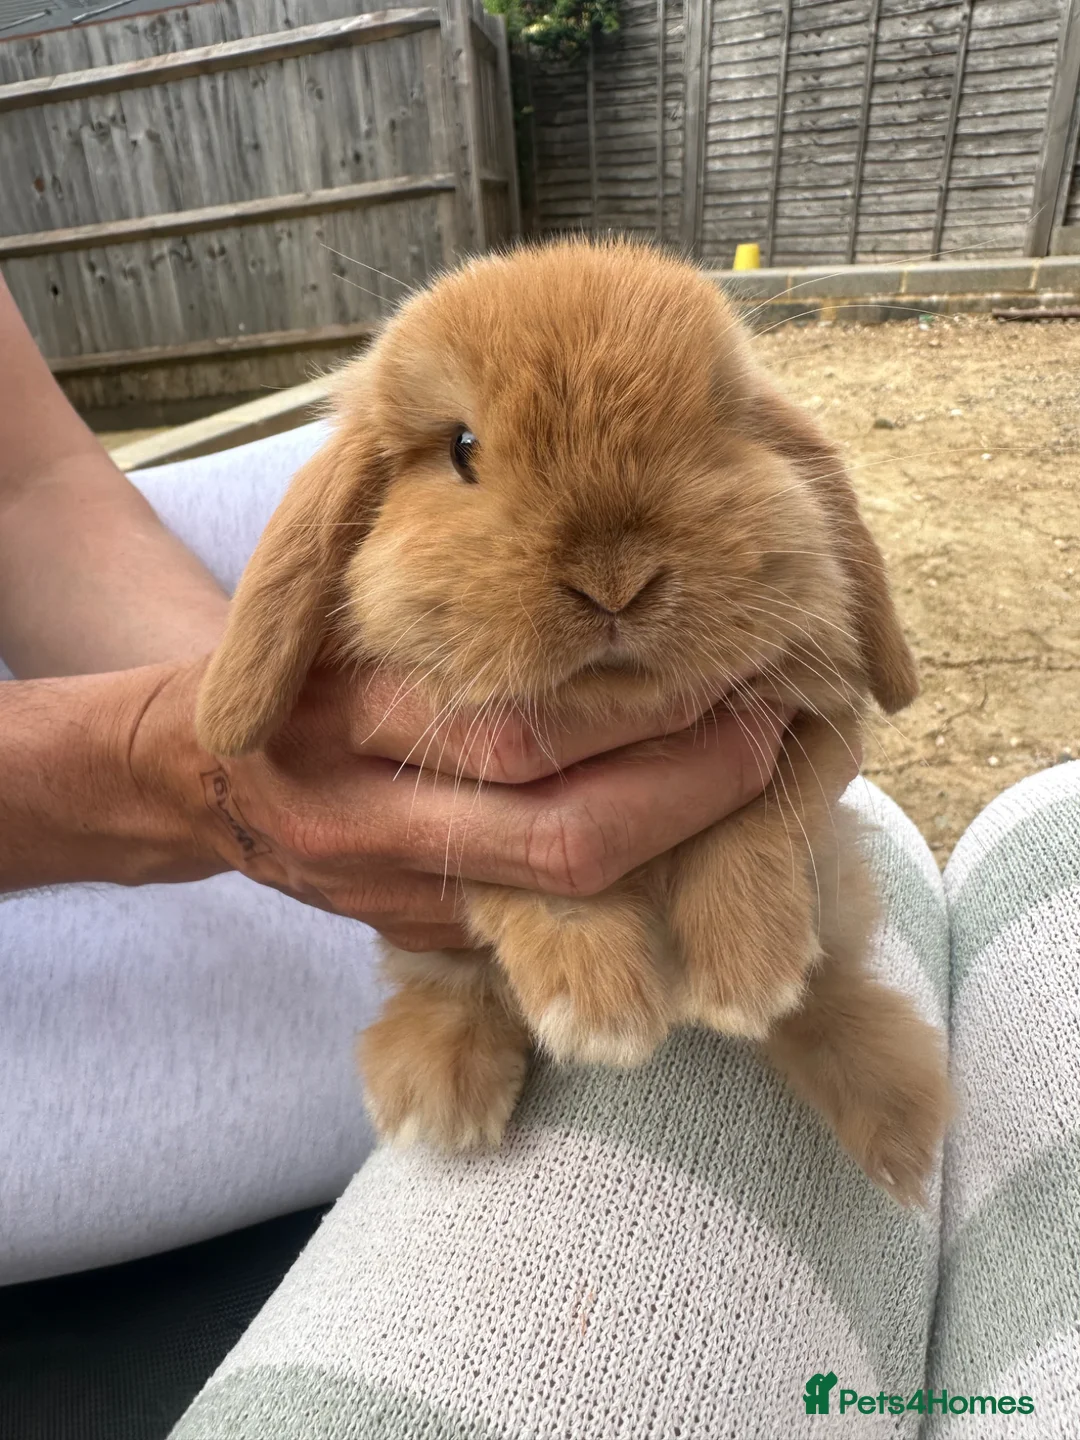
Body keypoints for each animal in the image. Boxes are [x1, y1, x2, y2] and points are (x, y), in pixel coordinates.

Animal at [196, 238, 950, 1206]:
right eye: (463, 449)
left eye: (717, 426)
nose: (614, 580)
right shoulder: (469, 805)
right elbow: (533, 886)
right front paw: (599, 1011)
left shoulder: (811, 733)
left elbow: (755, 825)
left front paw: (746, 976)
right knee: (448, 985)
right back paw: (441, 1091)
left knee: (833, 983)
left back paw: (891, 1118)